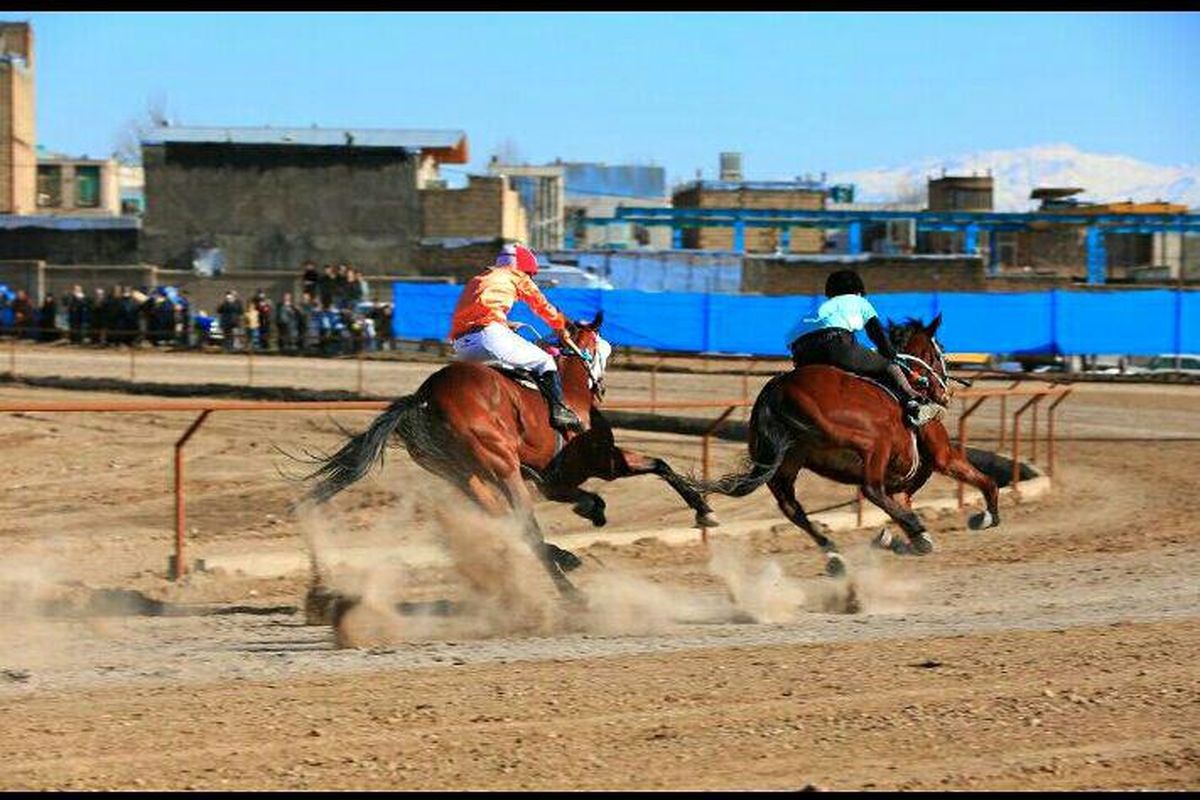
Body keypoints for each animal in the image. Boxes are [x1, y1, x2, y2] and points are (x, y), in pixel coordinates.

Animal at [300, 311, 715, 599]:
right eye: (606, 349)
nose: (601, 385)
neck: (571, 393)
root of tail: (425, 397)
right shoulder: (600, 462)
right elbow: (659, 464)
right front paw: (703, 510)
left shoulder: (555, 482)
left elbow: (614, 484)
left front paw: (593, 508)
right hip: (501, 466)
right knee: (525, 526)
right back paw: (571, 592)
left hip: (463, 474)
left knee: (507, 520)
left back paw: (564, 558)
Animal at [691, 311, 998, 575]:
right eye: (939, 351)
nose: (946, 392)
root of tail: (778, 388)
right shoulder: (942, 455)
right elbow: (987, 482)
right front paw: (984, 517)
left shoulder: (903, 484)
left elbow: (901, 506)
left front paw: (893, 539)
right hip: (873, 441)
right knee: (870, 489)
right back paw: (917, 534)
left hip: (784, 463)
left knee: (792, 508)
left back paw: (834, 554)